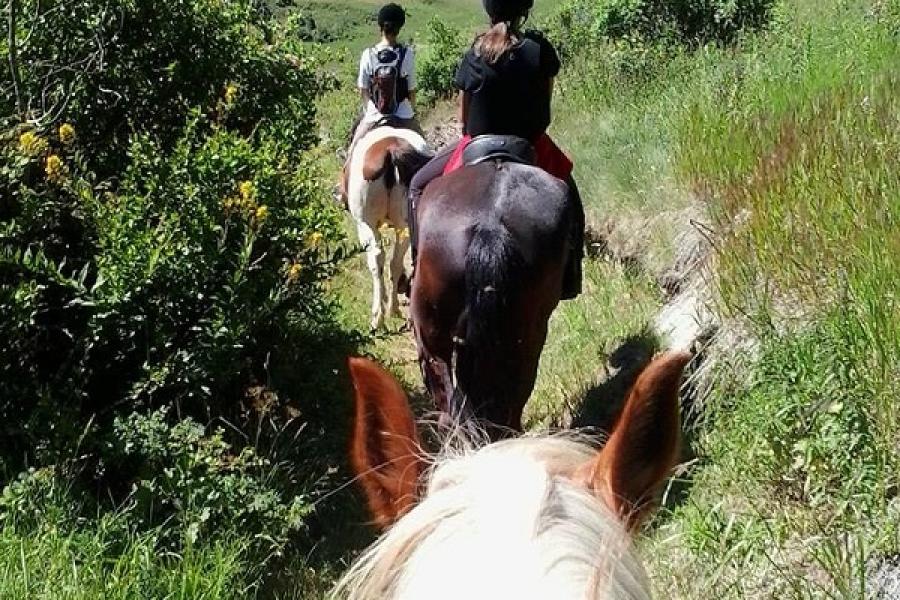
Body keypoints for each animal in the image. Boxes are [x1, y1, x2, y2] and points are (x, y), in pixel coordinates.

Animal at [342, 126, 432, 330]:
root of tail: (391, 151)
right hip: (405, 225)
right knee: (396, 262)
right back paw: (394, 309)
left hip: (366, 223)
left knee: (377, 259)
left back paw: (379, 316)